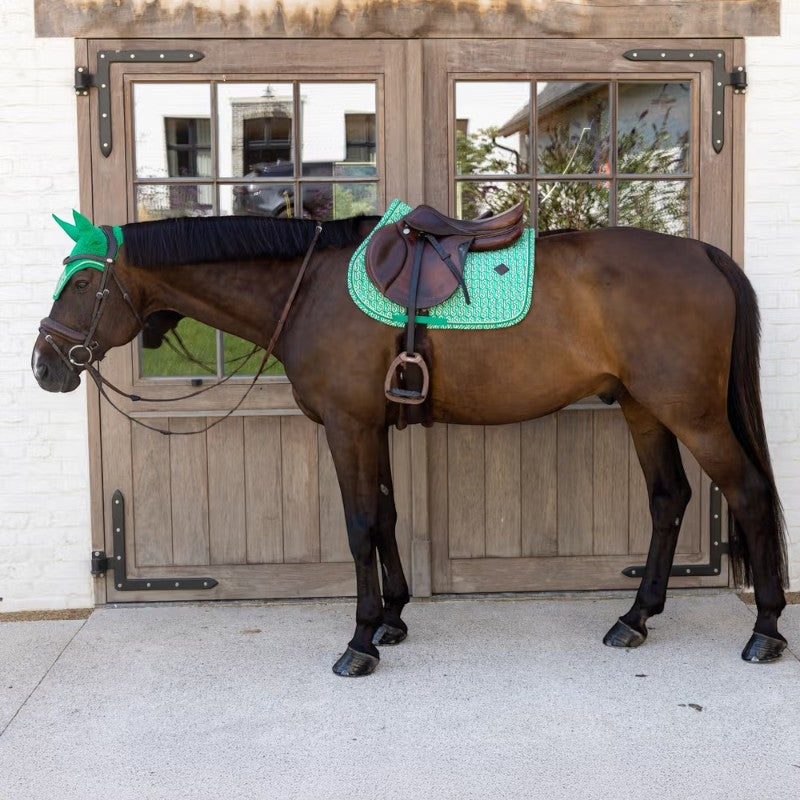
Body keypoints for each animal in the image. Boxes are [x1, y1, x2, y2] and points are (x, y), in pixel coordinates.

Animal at [32, 209, 789, 676]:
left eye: (85, 281)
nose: (44, 365)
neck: (308, 288)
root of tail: (702, 252)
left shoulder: (347, 427)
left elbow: (359, 523)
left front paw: (360, 641)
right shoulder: (372, 427)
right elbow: (387, 517)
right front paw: (393, 618)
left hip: (690, 413)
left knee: (748, 493)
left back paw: (766, 631)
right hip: (643, 408)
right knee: (670, 499)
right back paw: (635, 618)